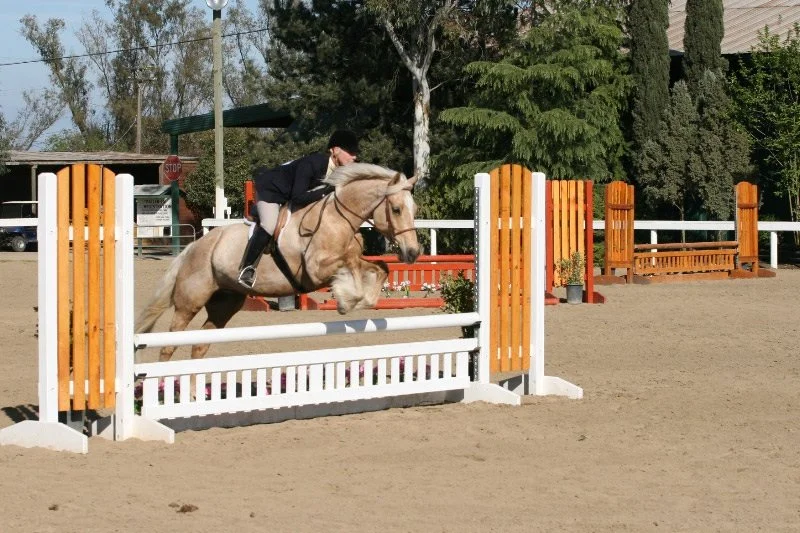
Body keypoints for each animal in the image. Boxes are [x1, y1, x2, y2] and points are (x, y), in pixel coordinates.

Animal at [135, 162, 420, 363]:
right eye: (396, 209)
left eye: (414, 210)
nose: (413, 252)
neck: (337, 217)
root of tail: (193, 247)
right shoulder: (315, 270)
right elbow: (349, 264)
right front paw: (346, 299)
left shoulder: (348, 261)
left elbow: (380, 268)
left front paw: (356, 299)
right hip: (189, 303)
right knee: (169, 345)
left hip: (226, 302)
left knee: (200, 344)